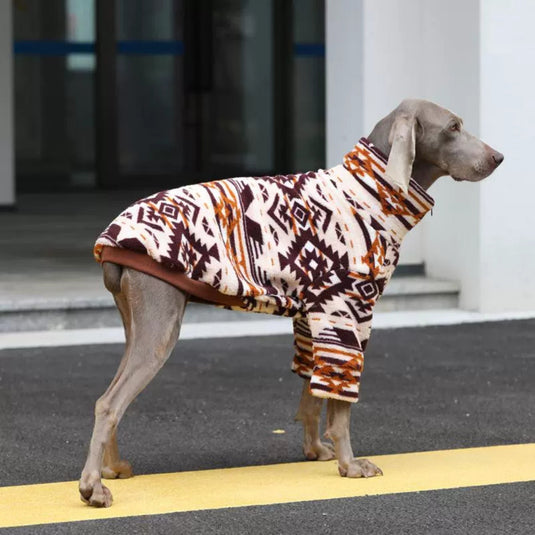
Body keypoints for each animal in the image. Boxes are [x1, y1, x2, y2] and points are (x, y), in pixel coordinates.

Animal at [78, 99, 502, 506]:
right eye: (453, 127)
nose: (499, 157)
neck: (368, 193)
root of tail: (108, 238)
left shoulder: (314, 316)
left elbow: (312, 394)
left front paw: (315, 450)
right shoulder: (346, 314)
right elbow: (339, 407)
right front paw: (350, 466)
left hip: (137, 325)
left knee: (107, 397)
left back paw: (113, 468)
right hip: (160, 326)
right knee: (109, 403)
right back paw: (92, 488)